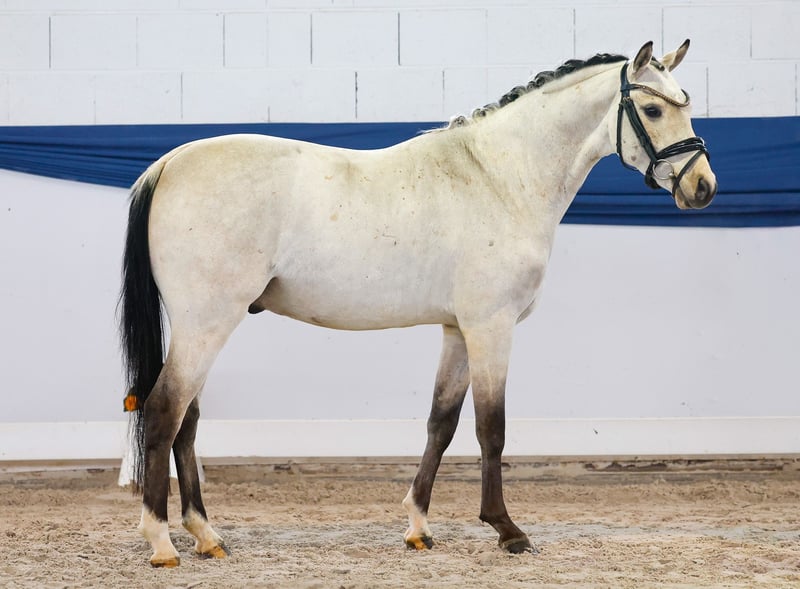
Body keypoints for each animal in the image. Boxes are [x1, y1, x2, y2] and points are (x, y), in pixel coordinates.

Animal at [119, 40, 716, 567]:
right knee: (164, 410)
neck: (498, 178)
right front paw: (507, 530)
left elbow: (441, 424)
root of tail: (169, 163)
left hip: (201, 325)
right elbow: (491, 428)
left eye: (685, 102)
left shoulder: (457, 329)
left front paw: (419, 527)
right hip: (207, 323)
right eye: (653, 108)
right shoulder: (491, 326)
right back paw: (162, 543)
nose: (703, 187)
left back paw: (207, 536)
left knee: (187, 419)